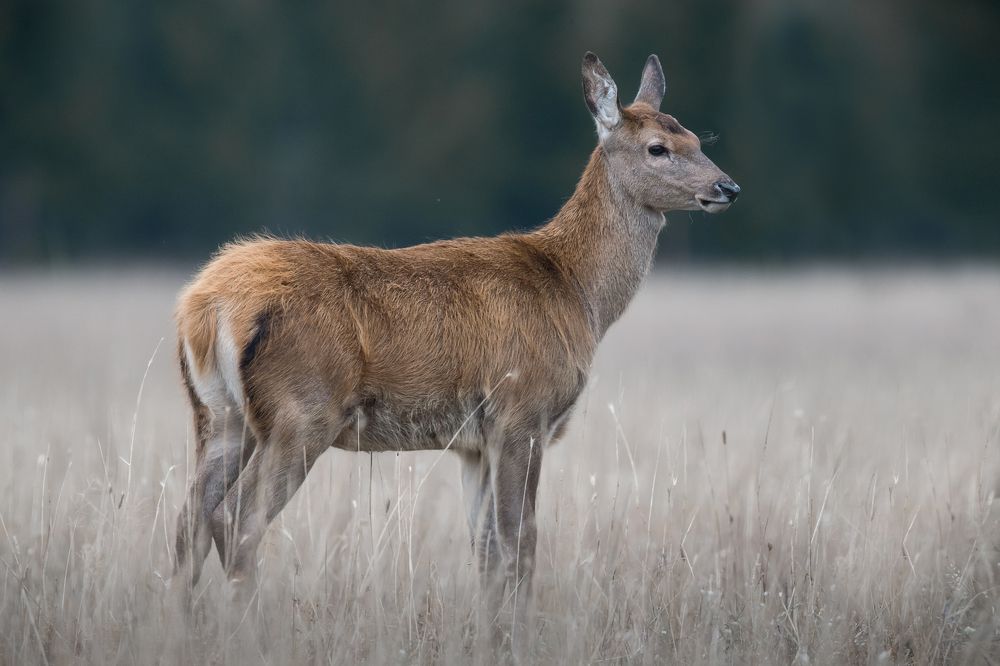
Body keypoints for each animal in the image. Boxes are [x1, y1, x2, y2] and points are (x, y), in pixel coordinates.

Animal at [171, 52, 739, 643]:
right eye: (658, 147)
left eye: (696, 137)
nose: (728, 187)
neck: (576, 291)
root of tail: (206, 306)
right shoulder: (522, 413)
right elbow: (520, 543)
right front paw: (519, 639)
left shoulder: (474, 441)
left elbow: (486, 550)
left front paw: (490, 635)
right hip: (301, 411)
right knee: (235, 520)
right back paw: (251, 632)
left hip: (220, 415)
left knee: (188, 521)